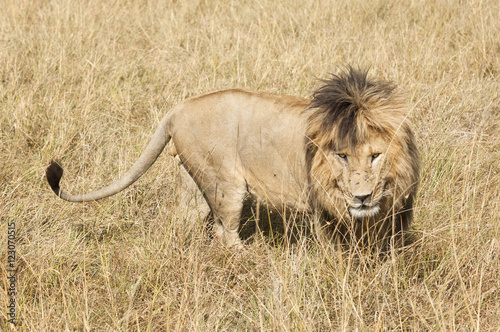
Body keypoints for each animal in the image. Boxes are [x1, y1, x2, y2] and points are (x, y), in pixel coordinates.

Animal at [47, 67, 420, 249]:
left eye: (375, 156)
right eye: (341, 156)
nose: (362, 197)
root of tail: (178, 108)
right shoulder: (321, 206)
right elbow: (335, 251)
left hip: (193, 180)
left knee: (186, 221)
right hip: (225, 183)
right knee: (224, 233)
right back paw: (249, 258)